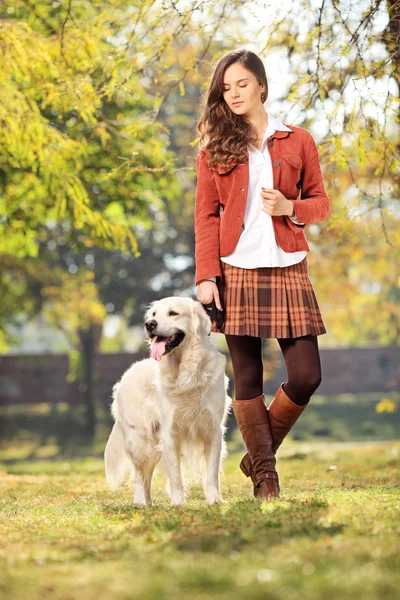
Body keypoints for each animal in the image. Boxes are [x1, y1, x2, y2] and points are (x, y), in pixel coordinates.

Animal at [104, 298, 231, 504]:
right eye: (154, 314)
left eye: (173, 313)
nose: (149, 324)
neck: (185, 371)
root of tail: (127, 374)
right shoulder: (170, 433)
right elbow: (176, 477)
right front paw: (178, 503)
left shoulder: (213, 430)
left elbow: (212, 473)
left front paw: (215, 501)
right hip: (140, 439)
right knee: (139, 476)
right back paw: (140, 503)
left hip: (153, 446)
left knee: (147, 475)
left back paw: (149, 503)